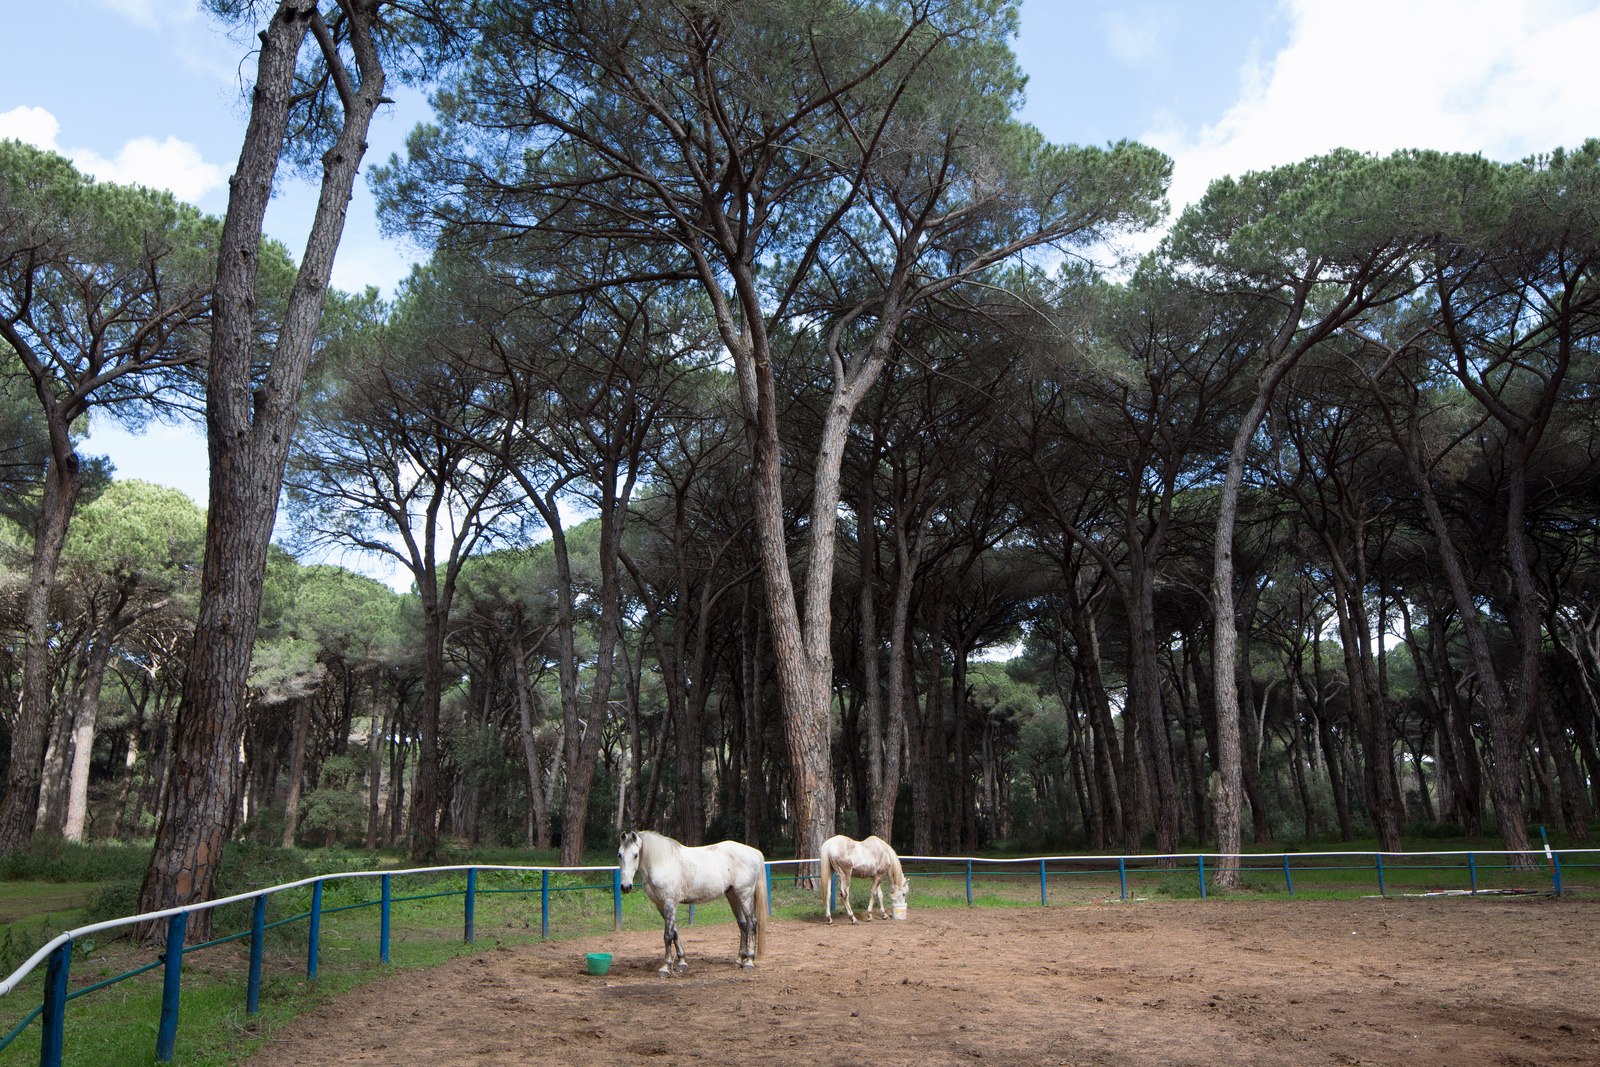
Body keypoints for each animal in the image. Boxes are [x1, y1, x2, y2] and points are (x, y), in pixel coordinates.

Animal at [617, 829, 768, 974]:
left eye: (636, 855)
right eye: (619, 855)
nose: (625, 887)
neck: (662, 862)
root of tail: (754, 852)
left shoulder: (670, 903)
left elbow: (668, 935)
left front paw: (665, 967)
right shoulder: (660, 904)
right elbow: (674, 932)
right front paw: (682, 962)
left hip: (745, 894)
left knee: (751, 923)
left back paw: (749, 962)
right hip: (732, 895)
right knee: (742, 924)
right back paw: (739, 960)